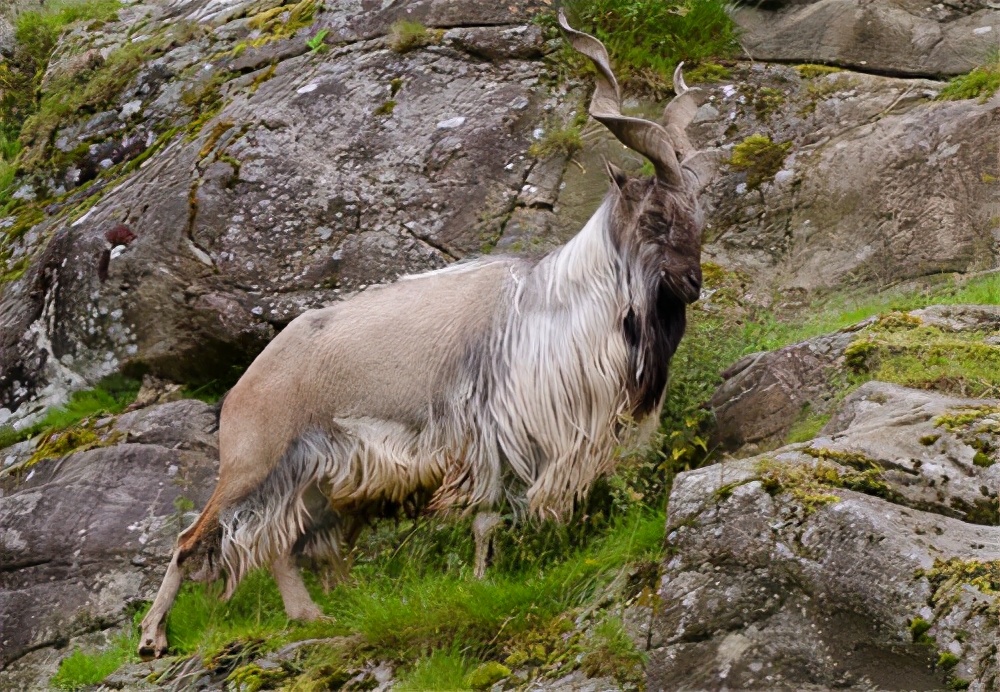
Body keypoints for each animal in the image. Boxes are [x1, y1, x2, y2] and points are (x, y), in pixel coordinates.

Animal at [141, 10, 716, 660]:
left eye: (699, 211)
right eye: (655, 216)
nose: (693, 284)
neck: (551, 308)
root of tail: (245, 384)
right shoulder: (487, 433)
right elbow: (486, 516)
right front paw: (482, 582)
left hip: (309, 476)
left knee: (284, 542)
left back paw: (315, 613)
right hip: (253, 460)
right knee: (194, 539)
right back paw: (154, 636)